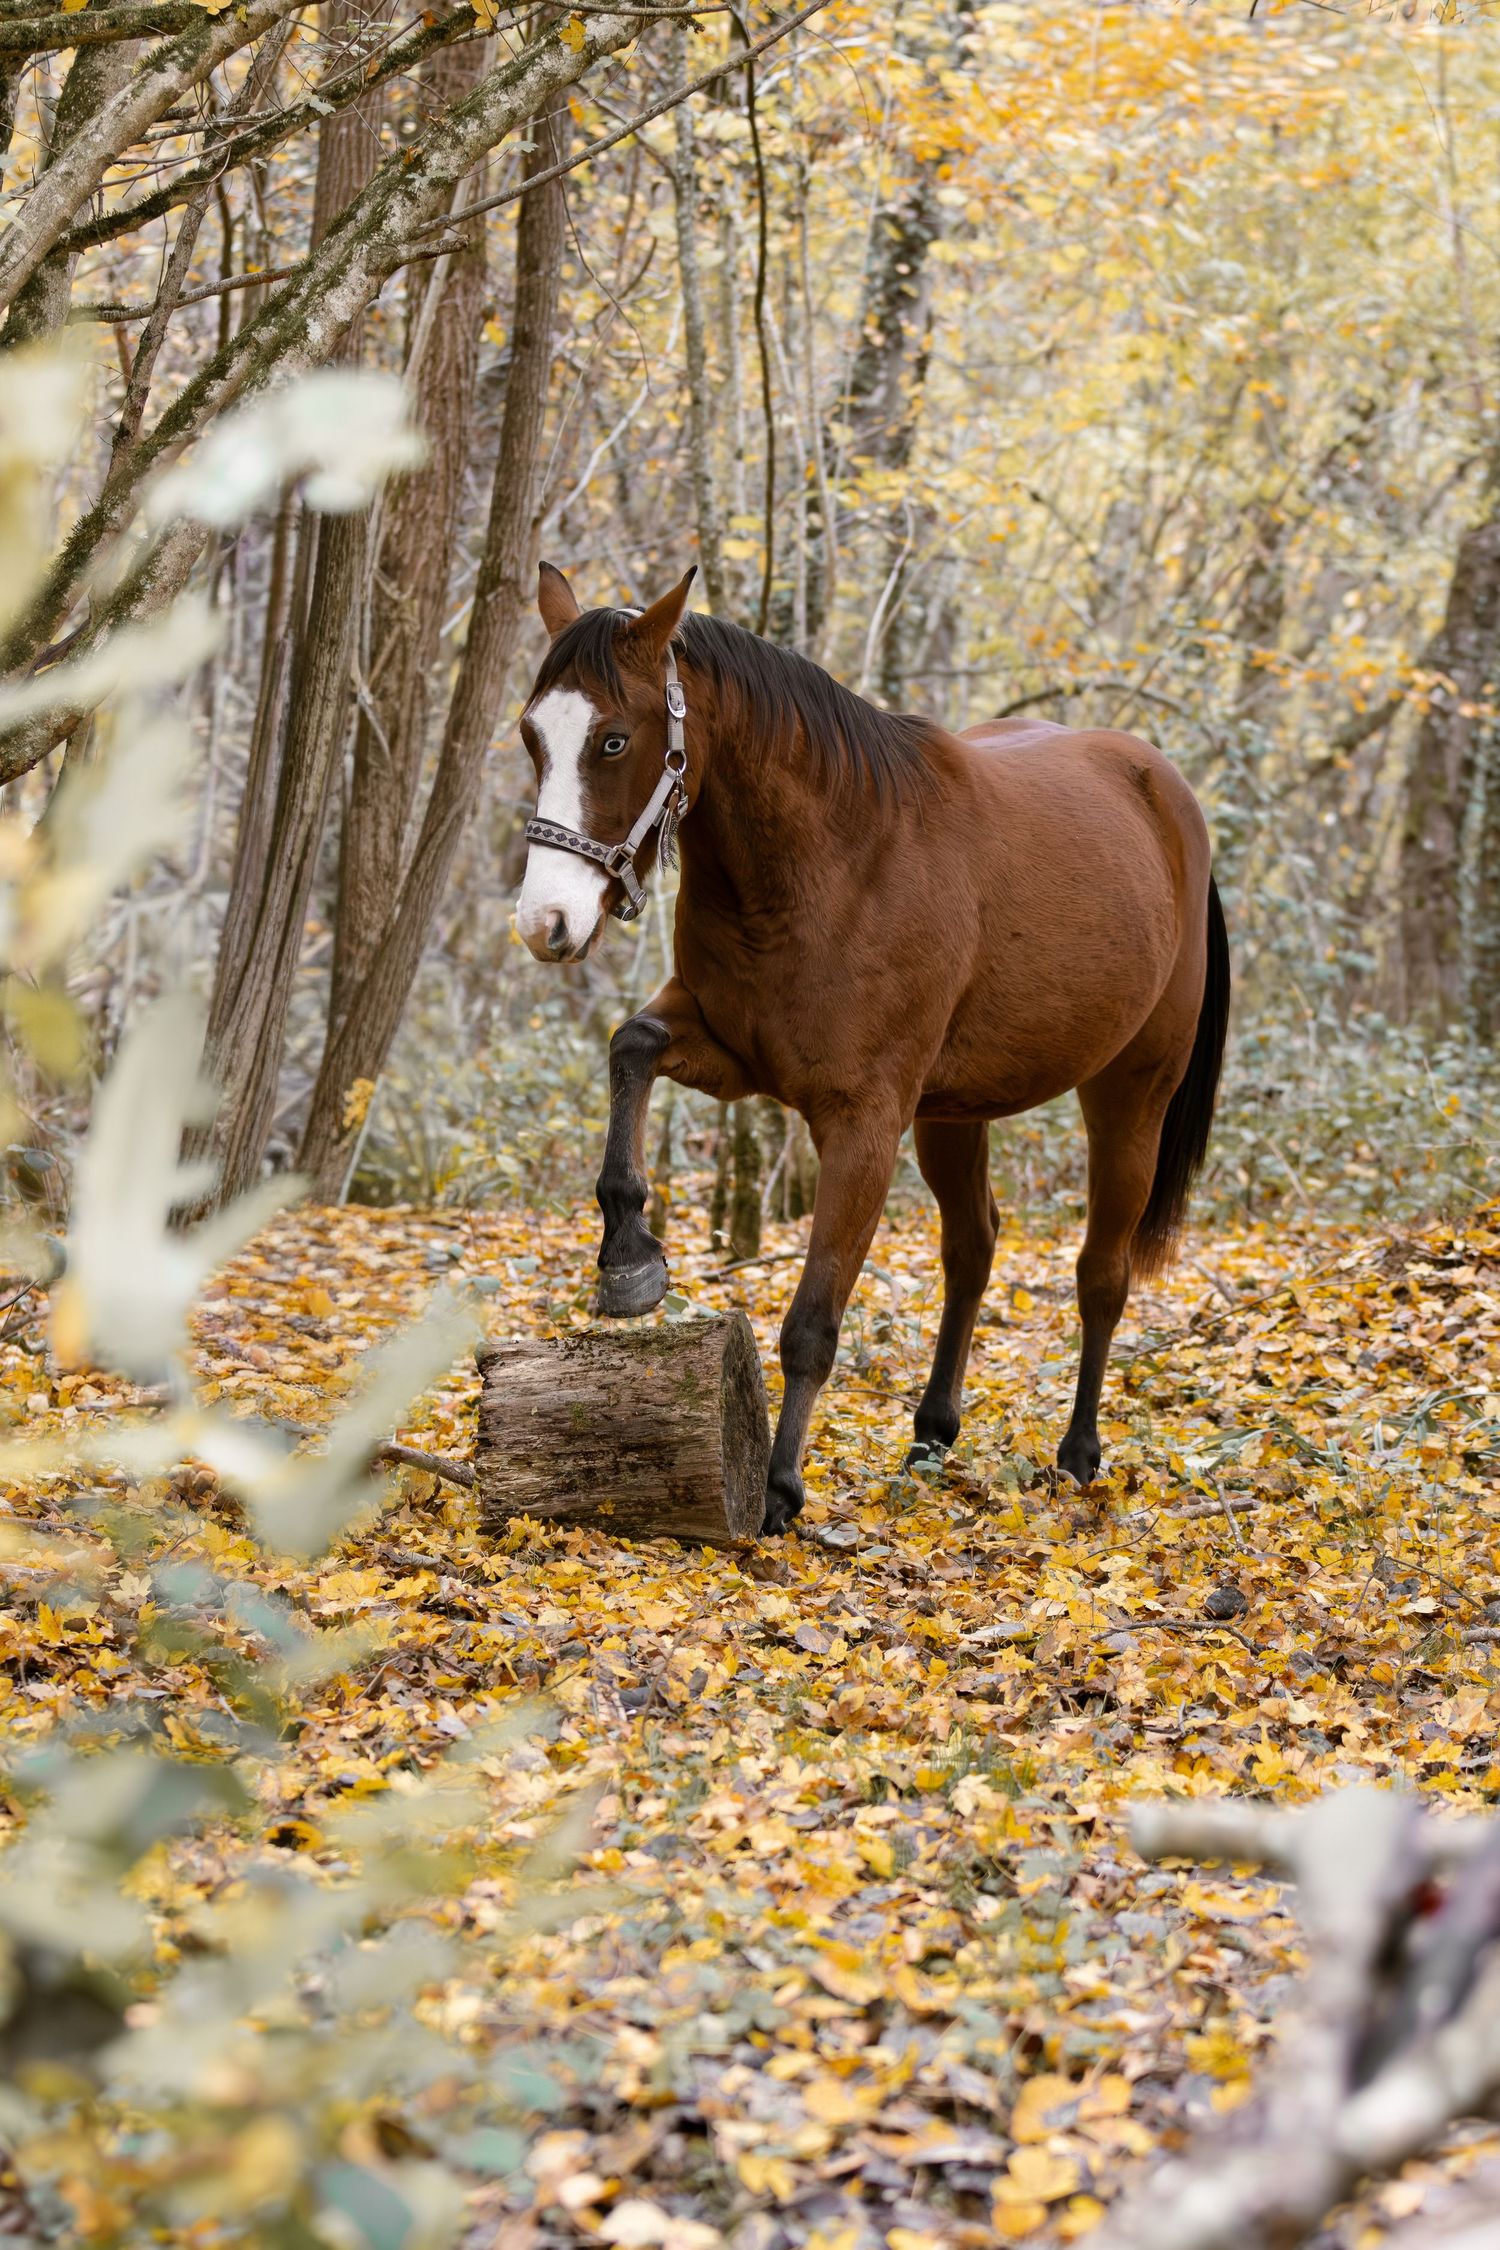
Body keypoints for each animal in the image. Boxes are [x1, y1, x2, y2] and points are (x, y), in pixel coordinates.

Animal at [513, 561, 1230, 1535]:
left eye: (616, 741)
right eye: (531, 737)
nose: (544, 923)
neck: (832, 861)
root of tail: (1166, 795)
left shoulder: (862, 1123)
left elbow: (813, 1323)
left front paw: (779, 1487)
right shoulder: (731, 1052)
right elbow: (632, 1045)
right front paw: (629, 1253)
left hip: (1129, 1095)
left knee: (1101, 1275)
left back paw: (1079, 1452)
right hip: (955, 1114)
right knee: (973, 1249)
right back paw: (931, 1436)